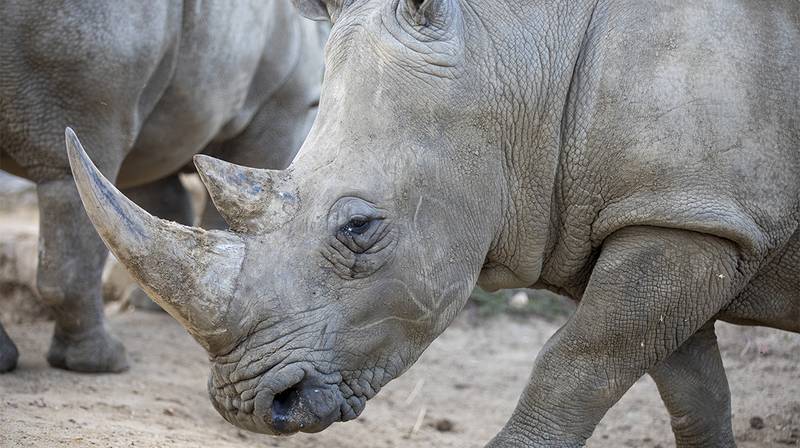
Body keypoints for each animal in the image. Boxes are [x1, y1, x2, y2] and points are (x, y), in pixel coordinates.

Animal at [0, 1, 326, 373]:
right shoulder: (284, 103)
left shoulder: (163, 129)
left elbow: (159, 199)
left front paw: (155, 306)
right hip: (91, 28)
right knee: (71, 165)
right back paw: (106, 362)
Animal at [66, 0, 799, 446]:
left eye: (359, 228)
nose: (249, 407)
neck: (525, 58)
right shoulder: (680, 212)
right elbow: (690, 388)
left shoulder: (696, 218)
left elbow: (577, 364)